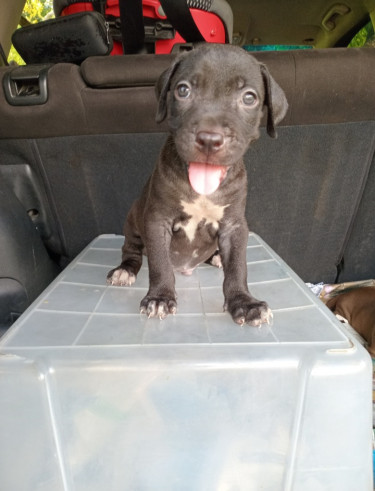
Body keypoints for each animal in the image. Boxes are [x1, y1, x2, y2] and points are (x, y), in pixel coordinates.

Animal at [107, 43, 290, 326]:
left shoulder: (234, 226)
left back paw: (216, 258)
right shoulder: (157, 220)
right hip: (133, 221)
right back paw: (125, 270)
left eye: (249, 98)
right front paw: (159, 298)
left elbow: (237, 267)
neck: (203, 192)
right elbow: (159, 264)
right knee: (132, 250)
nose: (209, 139)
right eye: (183, 90)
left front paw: (244, 303)